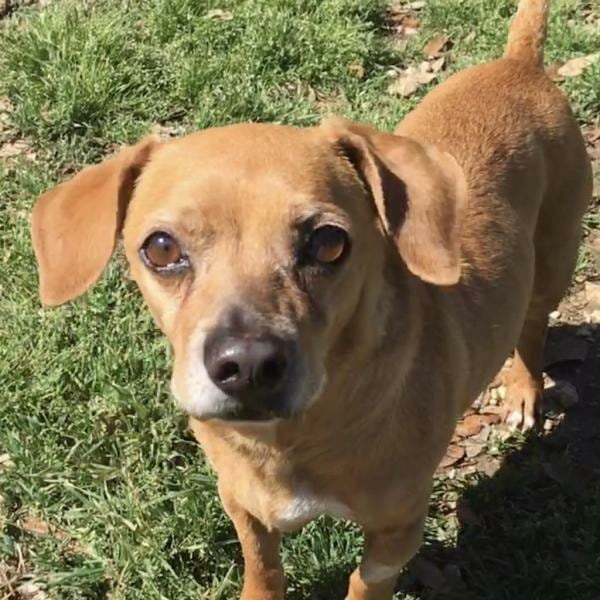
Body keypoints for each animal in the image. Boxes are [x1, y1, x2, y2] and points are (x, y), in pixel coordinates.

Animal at [29, 0, 592, 596]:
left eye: (328, 241)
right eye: (161, 249)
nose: (247, 365)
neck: (289, 443)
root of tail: (519, 63)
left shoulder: (395, 534)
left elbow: (363, 584)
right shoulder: (242, 504)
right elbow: (263, 565)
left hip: (554, 259)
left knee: (532, 326)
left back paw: (524, 391)